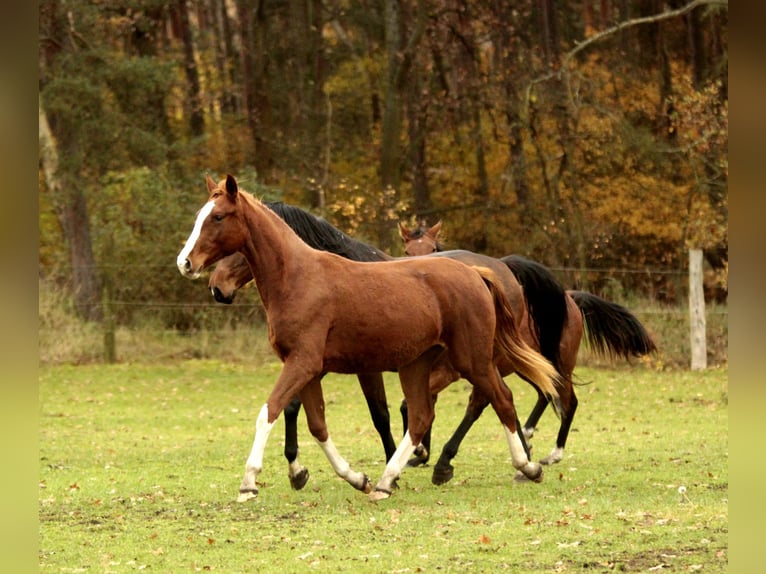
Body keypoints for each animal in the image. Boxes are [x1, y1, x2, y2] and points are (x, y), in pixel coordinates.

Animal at [180, 176, 564, 504]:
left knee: (500, 399)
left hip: (474, 359)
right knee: (422, 415)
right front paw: (354, 477)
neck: (299, 278)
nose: (186, 263)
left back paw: (524, 466)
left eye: (217, 216)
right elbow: (316, 424)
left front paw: (249, 483)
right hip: (418, 364)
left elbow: (271, 411)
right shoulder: (308, 369)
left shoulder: (305, 363)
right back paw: (386, 481)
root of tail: (478, 272)